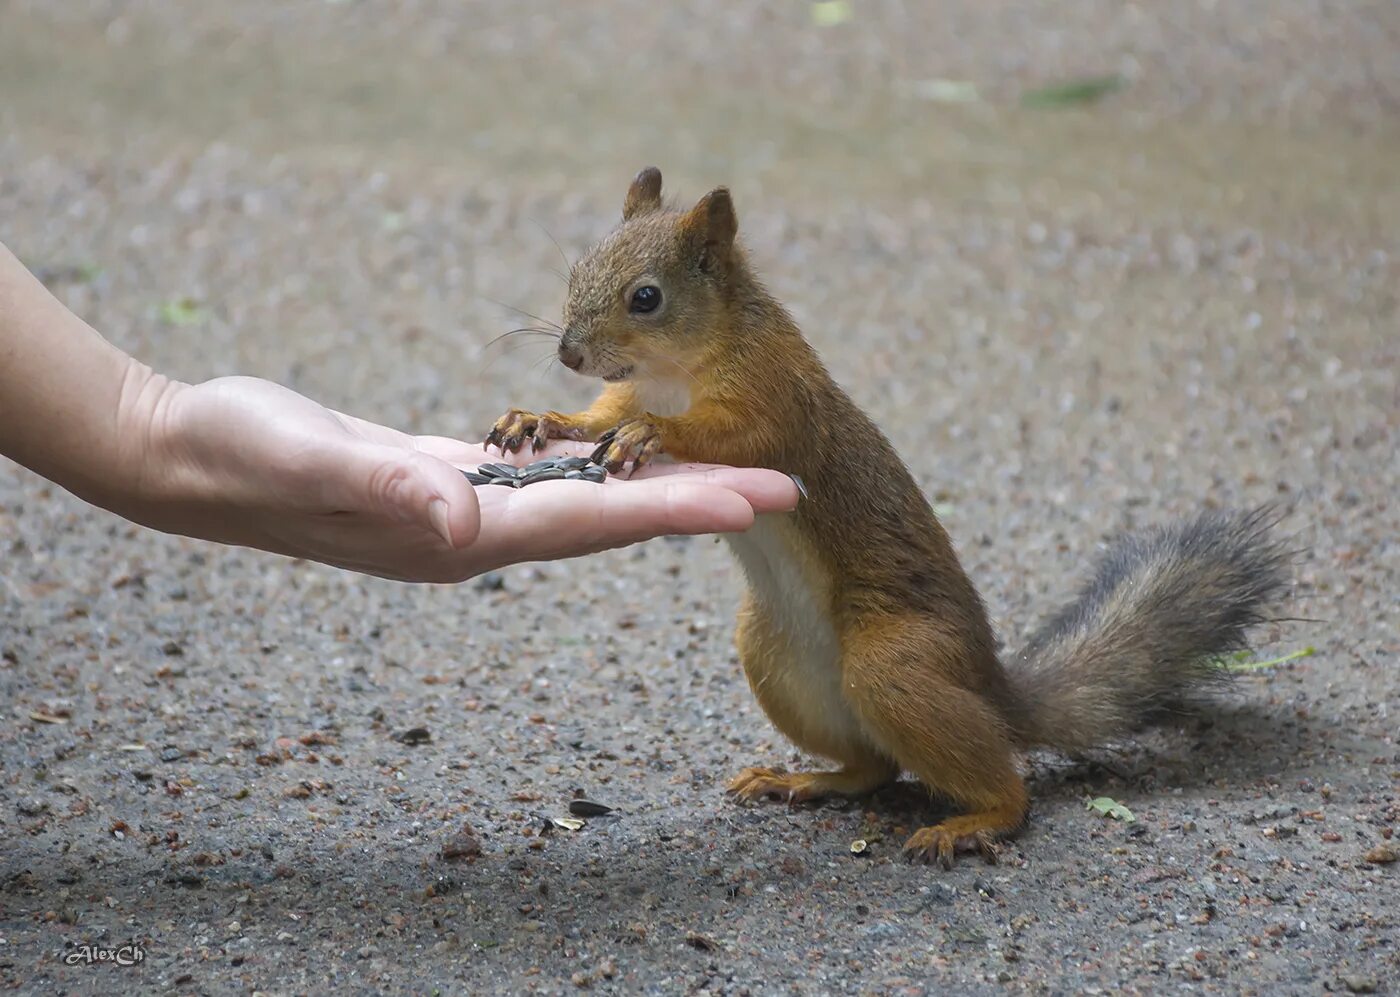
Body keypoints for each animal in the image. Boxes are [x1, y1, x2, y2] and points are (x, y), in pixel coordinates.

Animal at [490, 169, 1288, 862]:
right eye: (578, 268)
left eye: (647, 297)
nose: (569, 352)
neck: (672, 372)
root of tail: (992, 687)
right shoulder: (628, 392)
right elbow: (599, 415)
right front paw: (539, 418)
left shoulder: (776, 400)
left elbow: (729, 435)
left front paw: (653, 434)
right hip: (772, 651)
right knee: (874, 768)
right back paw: (800, 779)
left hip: (895, 664)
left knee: (1006, 784)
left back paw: (972, 821)